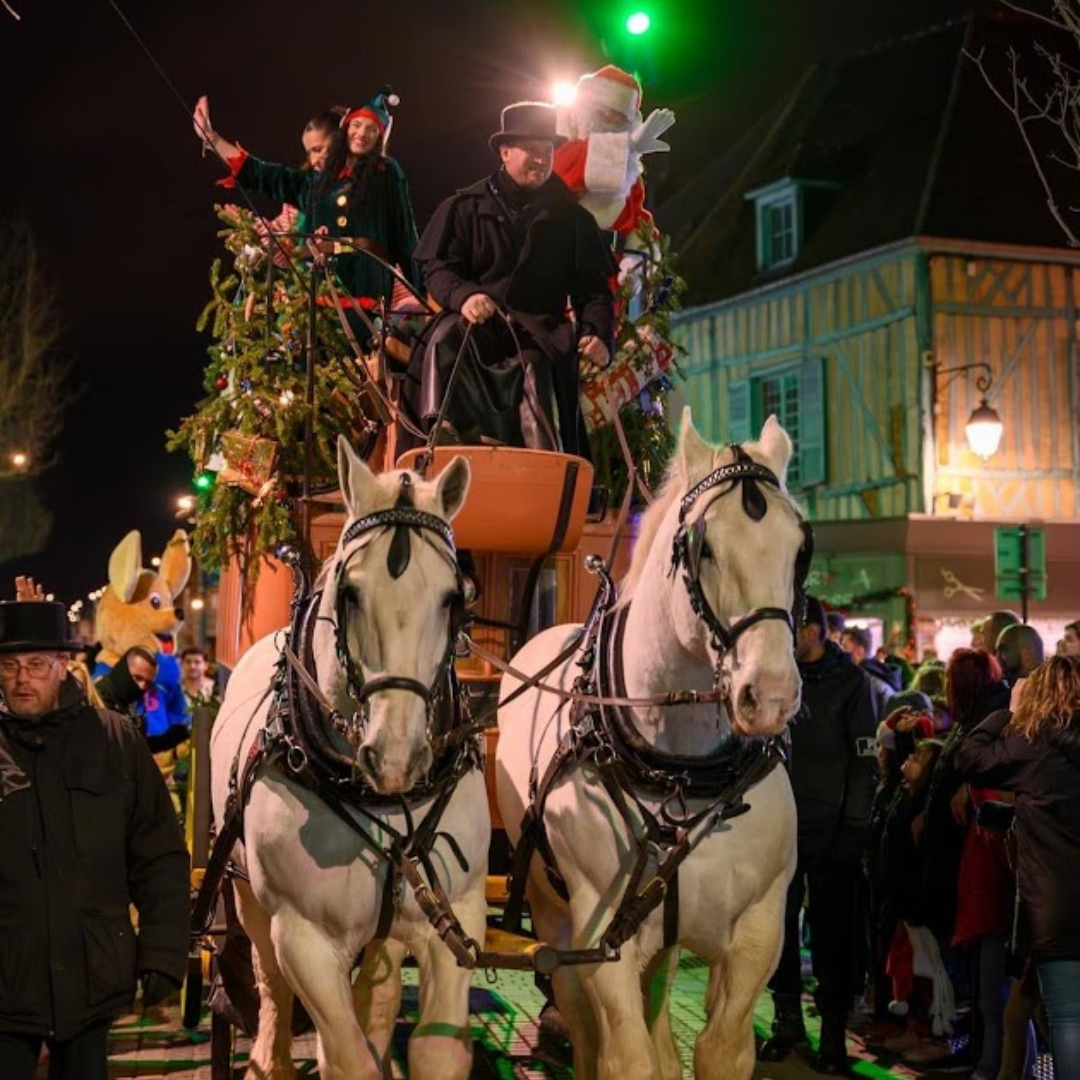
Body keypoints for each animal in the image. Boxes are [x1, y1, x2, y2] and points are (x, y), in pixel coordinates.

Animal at [207, 436, 494, 1080]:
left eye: (454, 596)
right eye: (349, 591)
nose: (396, 755)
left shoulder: (455, 914)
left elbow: (435, 1049)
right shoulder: (304, 936)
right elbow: (345, 1057)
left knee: (377, 992)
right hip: (245, 892)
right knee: (268, 981)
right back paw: (269, 1059)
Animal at [496, 410, 812, 1080]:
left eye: (800, 548)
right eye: (703, 546)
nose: (770, 694)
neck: (682, 776)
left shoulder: (760, 932)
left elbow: (719, 1051)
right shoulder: (600, 935)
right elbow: (626, 1058)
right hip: (553, 913)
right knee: (581, 1017)